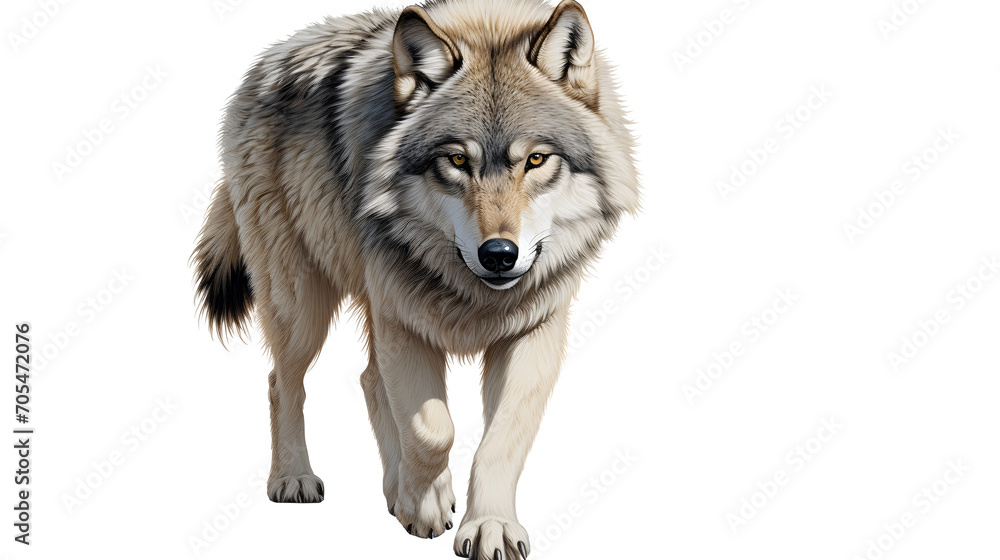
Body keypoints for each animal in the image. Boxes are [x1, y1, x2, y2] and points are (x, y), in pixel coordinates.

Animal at [193, 0, 639, 557]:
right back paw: (295, 478)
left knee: (367, 379)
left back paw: (392, 488)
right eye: (457, 160)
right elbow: (432, 429)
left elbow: (500, 439)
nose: (499, 254)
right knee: (283, 381)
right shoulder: (403, 320)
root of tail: (270, 59)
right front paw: (425, 504)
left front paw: (489, 526)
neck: (473, 293)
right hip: (302, 305)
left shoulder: (535, 331)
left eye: (536, 159)